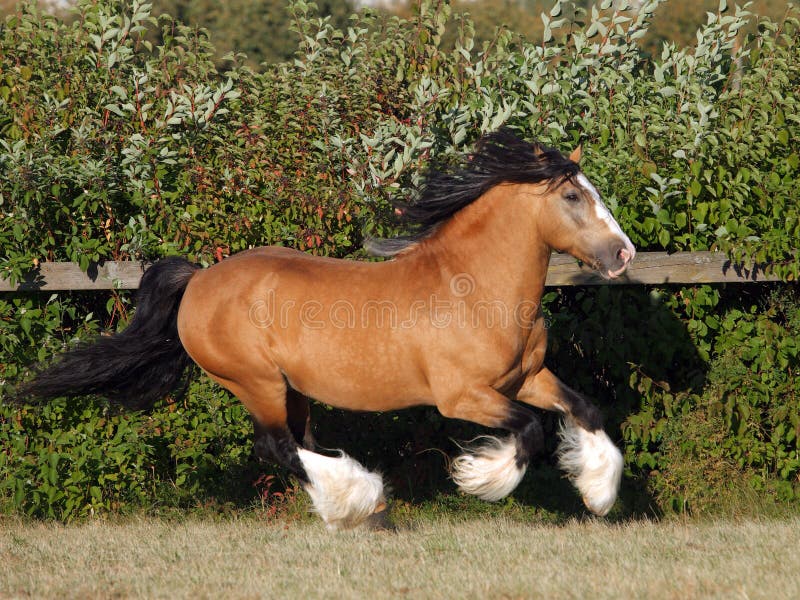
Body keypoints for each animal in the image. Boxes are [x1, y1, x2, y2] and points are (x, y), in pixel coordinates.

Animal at [18, 130, 636, 528]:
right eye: (572, 195)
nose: (623, 254)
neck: (472, 288)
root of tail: (198, 280)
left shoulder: (527, 378)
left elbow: (584, 409)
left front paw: (599, 495)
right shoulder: (464, 397)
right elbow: (529, 432)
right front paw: (481, 478)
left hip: (291, 388)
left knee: (299, 443)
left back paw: (356, 507)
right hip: (255, 382)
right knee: (278, 447)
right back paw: (362, 500)